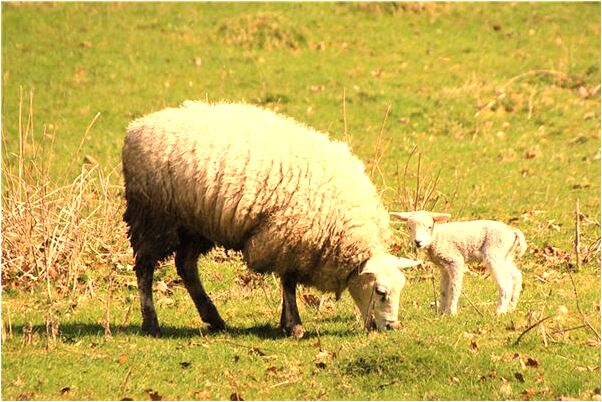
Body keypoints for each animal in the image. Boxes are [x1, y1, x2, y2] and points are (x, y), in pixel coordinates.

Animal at [121, 99, 420, 338]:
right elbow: (288, 282)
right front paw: (294, 325)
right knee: (145, 267)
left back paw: (214, 318)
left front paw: (286, 323)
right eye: (380, 291)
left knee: (185, 266)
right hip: (155, 216)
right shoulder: (288, 237)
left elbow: (288, 282)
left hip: (195, 224)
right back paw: (151, 323)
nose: (392, 327)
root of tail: (136, 127)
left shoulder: (291, 242)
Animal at [390, 210, 524, 314]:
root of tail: (512, 231)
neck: (437, 237)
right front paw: (441, 312)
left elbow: (454, 287)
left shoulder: (455, 261)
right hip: (506, 256)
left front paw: (452, 312)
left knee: (506, 282)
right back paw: (511, 308)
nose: (418, 242)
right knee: (517, 276)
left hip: (494, 252)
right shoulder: (444, 267)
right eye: (409, 227)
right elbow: (443, 290)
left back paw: (500, 311)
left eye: (429, 227)